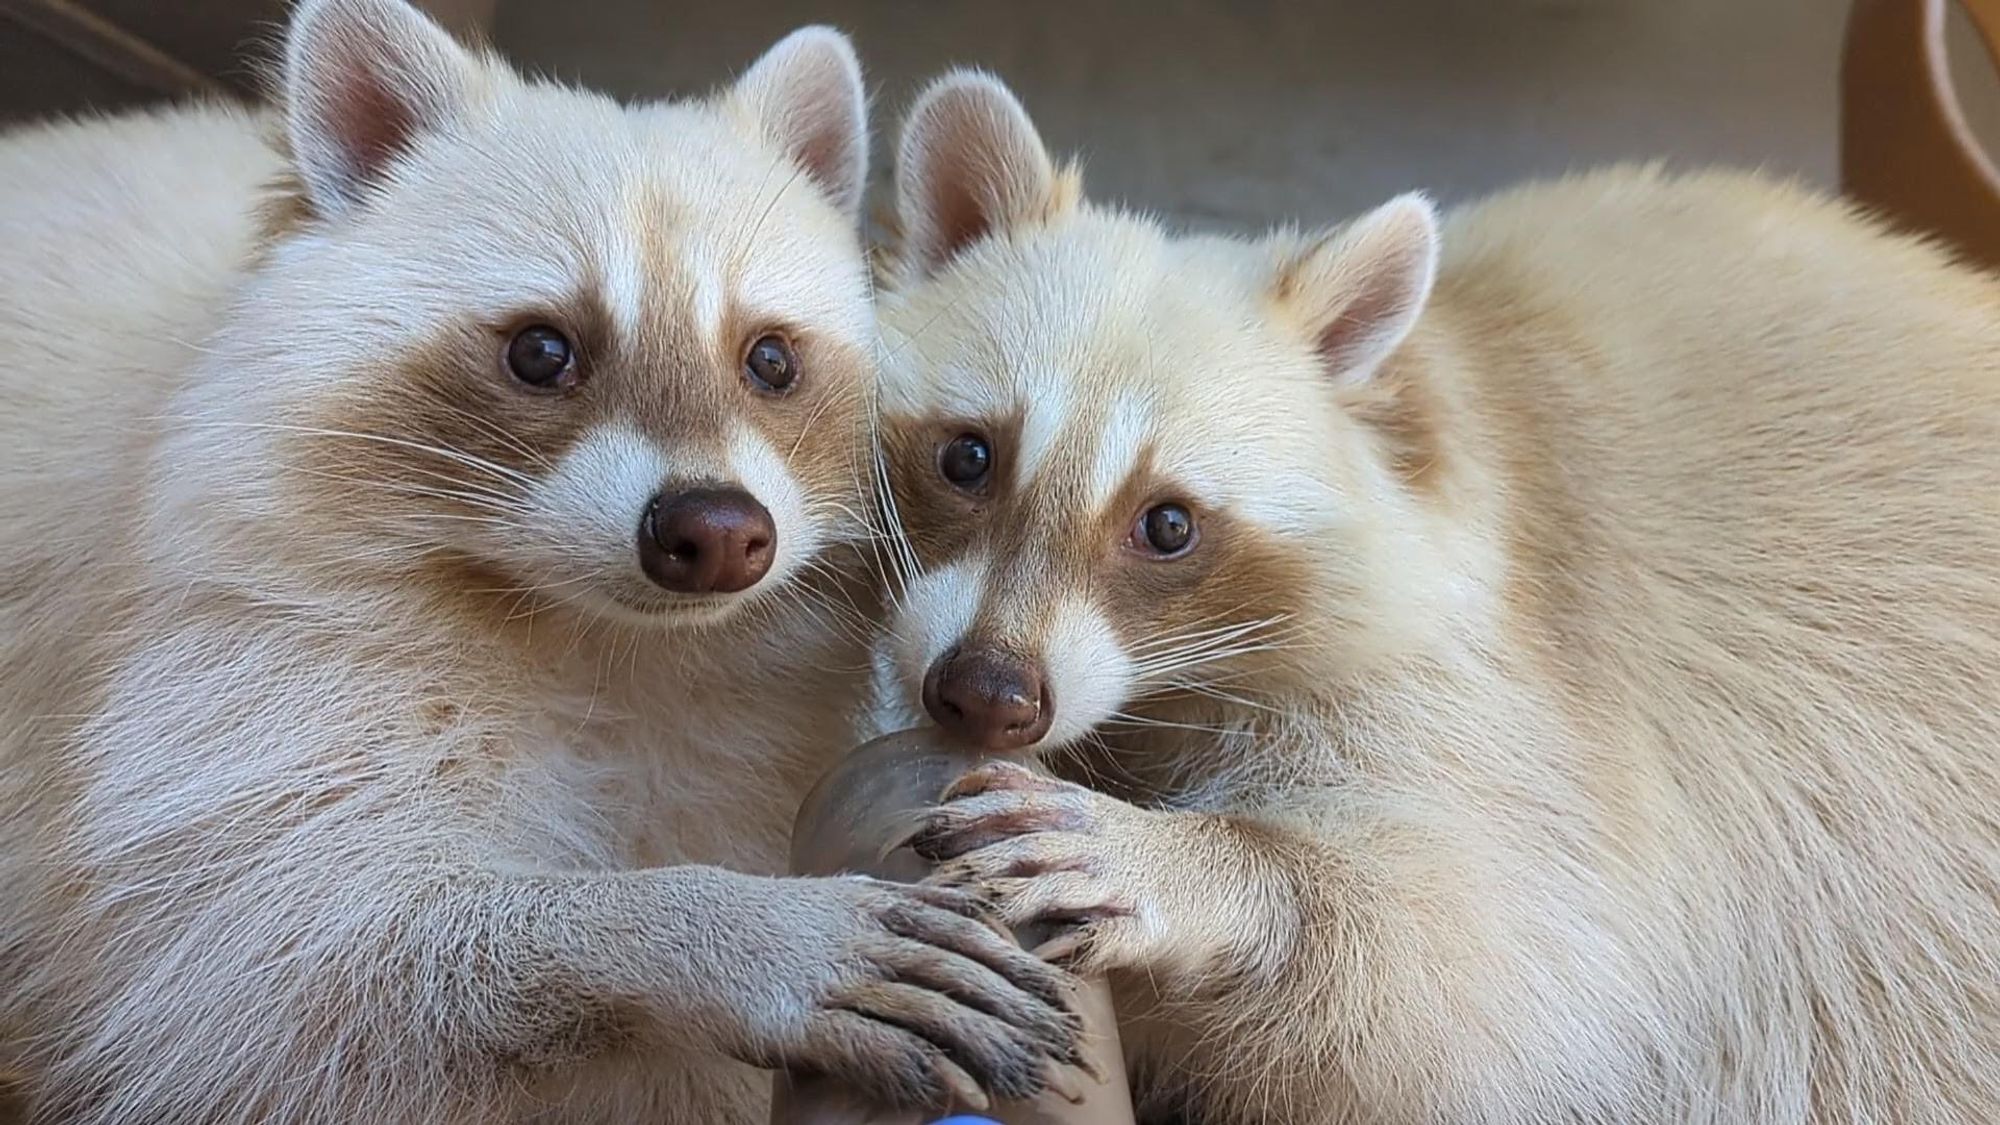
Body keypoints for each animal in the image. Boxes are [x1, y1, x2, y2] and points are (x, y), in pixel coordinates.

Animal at [0, 8, 1080, 1120]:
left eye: (770, 360)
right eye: (539, 352)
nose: (717, 533)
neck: (596, 633)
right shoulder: (225, 684)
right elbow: (287, 964)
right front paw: (698, 930)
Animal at [868, 68, 2000, 1120]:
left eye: (1168, 525)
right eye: (967, 456)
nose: (987, 695)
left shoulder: (1506, 675)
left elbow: (1505, 978)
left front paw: (1191, 864)